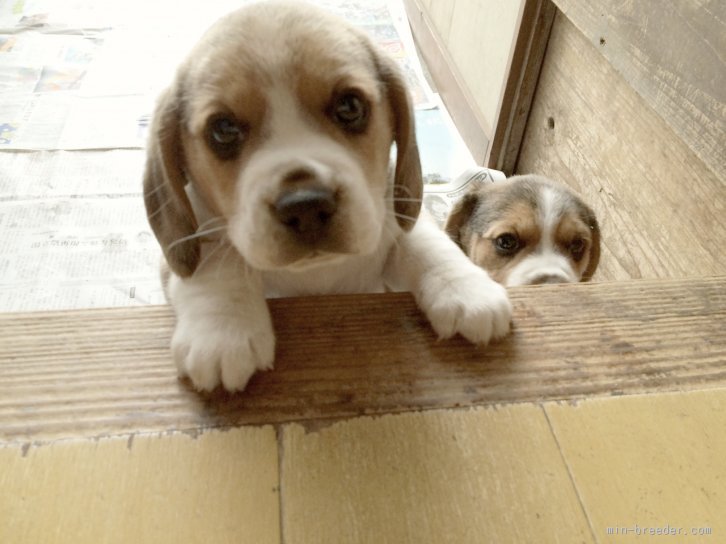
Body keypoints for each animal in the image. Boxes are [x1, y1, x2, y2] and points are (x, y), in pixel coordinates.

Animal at [144, 0, 512, 392]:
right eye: (223, 129)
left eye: (350, 106)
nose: (305, 207)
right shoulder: (187, 245)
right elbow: (214, 261)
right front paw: (224, 330)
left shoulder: (389, 215)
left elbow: (422, 242)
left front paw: (466, 289)